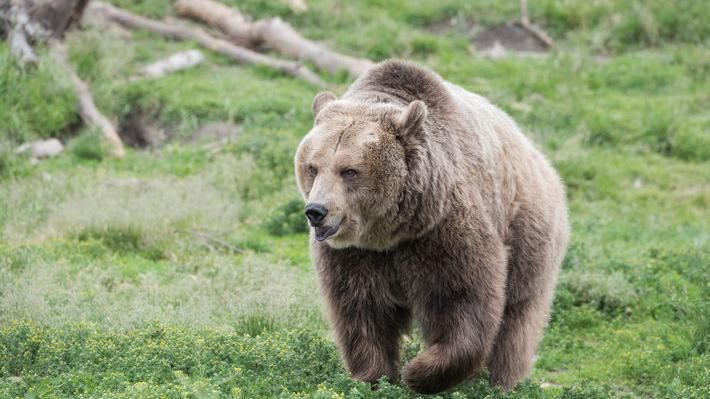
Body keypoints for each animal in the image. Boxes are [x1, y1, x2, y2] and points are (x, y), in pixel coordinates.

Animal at [294, 59, 572, 394]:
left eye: (349, 170)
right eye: (312, 167)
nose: (316, 212)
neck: (390, 234)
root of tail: (544, 163)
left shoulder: (441, 230)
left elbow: (463, 298)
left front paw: (417, 372)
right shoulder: (355, 254)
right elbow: (360, 309)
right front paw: (373, 376)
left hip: (527, 234)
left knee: (517, 319)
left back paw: (501, 382)